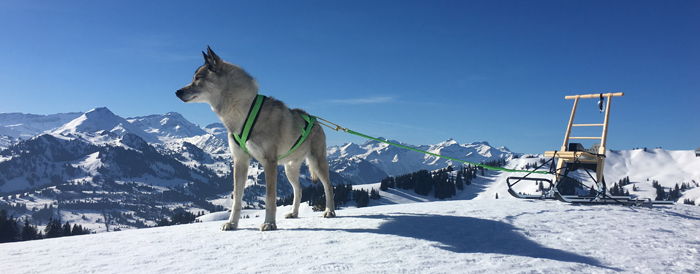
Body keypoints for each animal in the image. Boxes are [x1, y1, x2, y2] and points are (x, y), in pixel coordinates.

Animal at [178, 46, 336, 230]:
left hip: (317, 163)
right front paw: (232, 223)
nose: (177, 92)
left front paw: (269, 223)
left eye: (198, 78)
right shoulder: (240, 161)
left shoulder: (269, 163)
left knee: (328, 186)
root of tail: (315, 120)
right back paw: (294, 213)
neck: (244, 113)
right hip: (290, 169)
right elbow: (236, 199)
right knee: (299, 189)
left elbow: (269, 199)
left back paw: (330, 211)